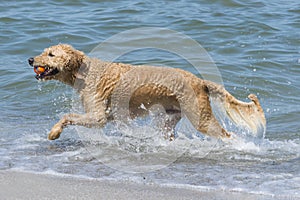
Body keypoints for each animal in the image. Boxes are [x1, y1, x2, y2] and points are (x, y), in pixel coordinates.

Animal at [28, 44, 266, 141]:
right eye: (44, 52)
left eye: (51, 54)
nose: (30, 59)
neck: (84, 72)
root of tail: (200, 81)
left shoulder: (98, 117)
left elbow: (66, 116)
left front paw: (54, 132)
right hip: (167, 121)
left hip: (201, 118)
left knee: (227, 135)